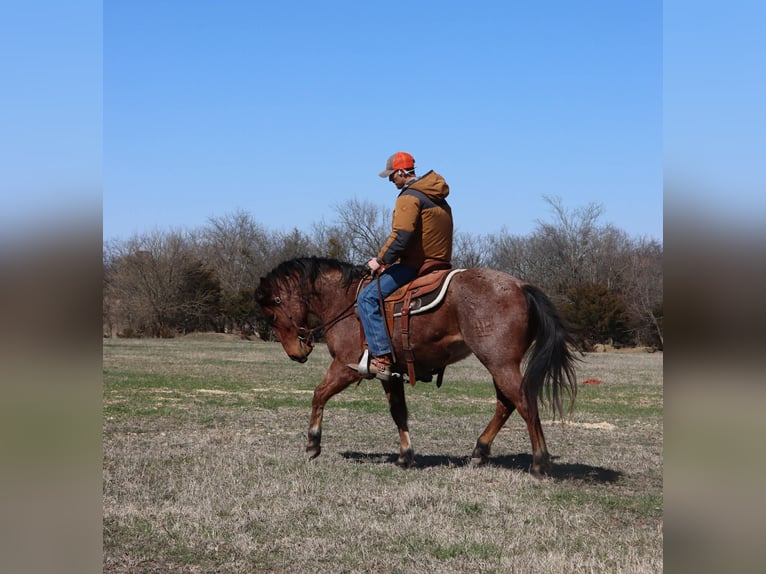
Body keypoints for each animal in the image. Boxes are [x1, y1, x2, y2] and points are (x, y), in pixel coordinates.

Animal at [254, 256, 578, 476]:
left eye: (271, 315)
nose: (296, 353)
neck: (346, 301)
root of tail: (520, 286)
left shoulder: (346, 366)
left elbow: (318, 394)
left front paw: (313, 444)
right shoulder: (388, 373)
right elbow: (398, 411)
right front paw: (405, 455)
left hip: (500, 363)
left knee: (524, 403)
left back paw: (539, 462)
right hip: (499, 364)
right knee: (506, 404)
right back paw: (479, 451)